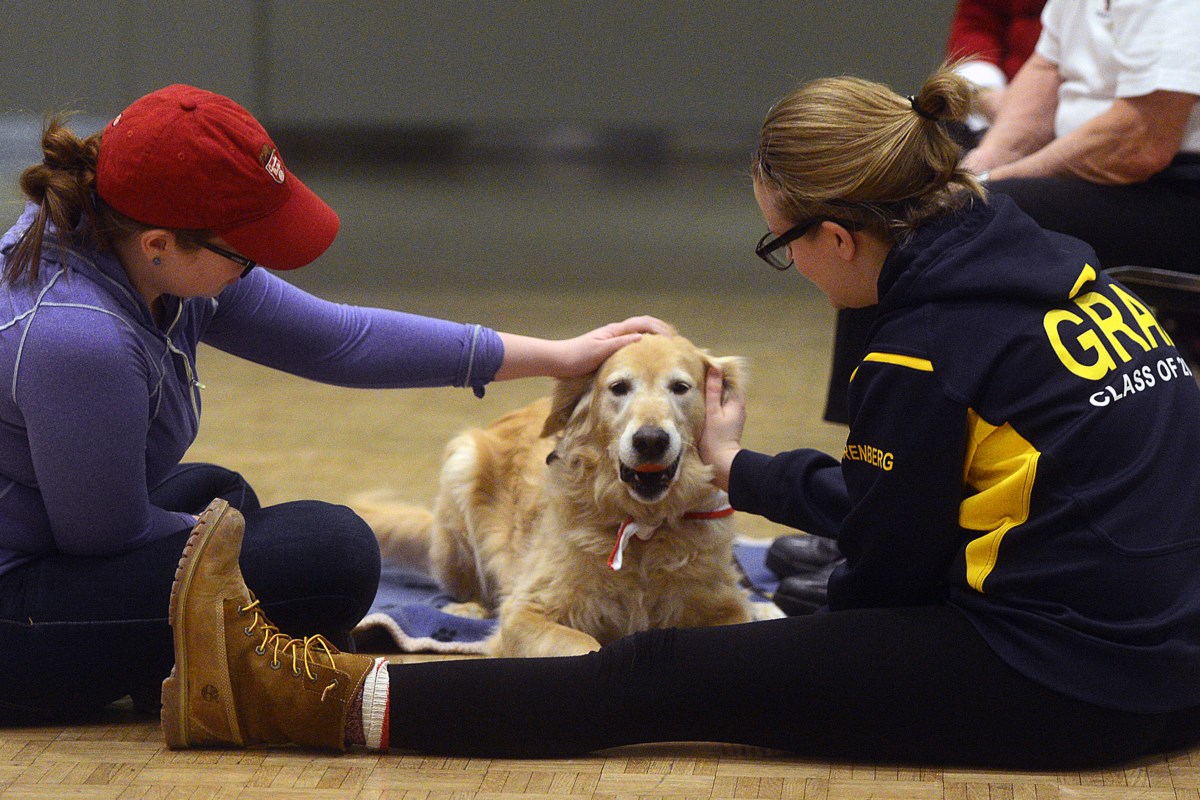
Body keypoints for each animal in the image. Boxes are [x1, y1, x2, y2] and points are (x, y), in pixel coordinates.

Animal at [350, 331, 763, 657]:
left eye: (680, 387)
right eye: (619, 388)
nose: (650, 440)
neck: (642, 529)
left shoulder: (724, 607)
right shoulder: (527, 611)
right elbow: (584, 645)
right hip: (462, 466)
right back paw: (464, 612)